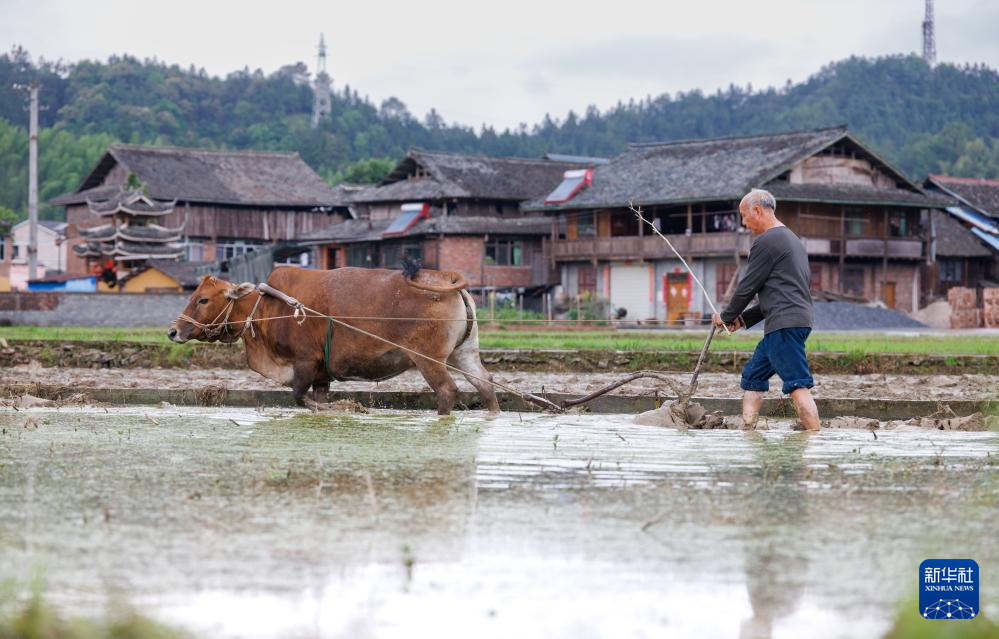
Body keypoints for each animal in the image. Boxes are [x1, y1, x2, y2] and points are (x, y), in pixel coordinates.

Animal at [168, 264, 500, 415]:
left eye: (203, 299)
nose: (173, 330)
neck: (265, 309)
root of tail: (446, 277)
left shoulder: (304, 362)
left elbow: (300, 398)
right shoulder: (321, 375)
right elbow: (316, 399)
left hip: (428, 360)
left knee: (447, 390)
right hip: (463, 354)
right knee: (485, 384)